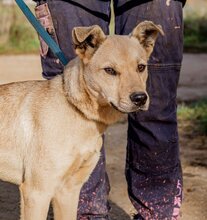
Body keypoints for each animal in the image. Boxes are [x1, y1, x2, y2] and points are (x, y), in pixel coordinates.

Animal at [0, 21, 163, 220]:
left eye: (141, 67)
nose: (140, 98)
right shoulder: (36, 192)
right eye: (110, 70)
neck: (77, 111)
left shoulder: (68, 190)